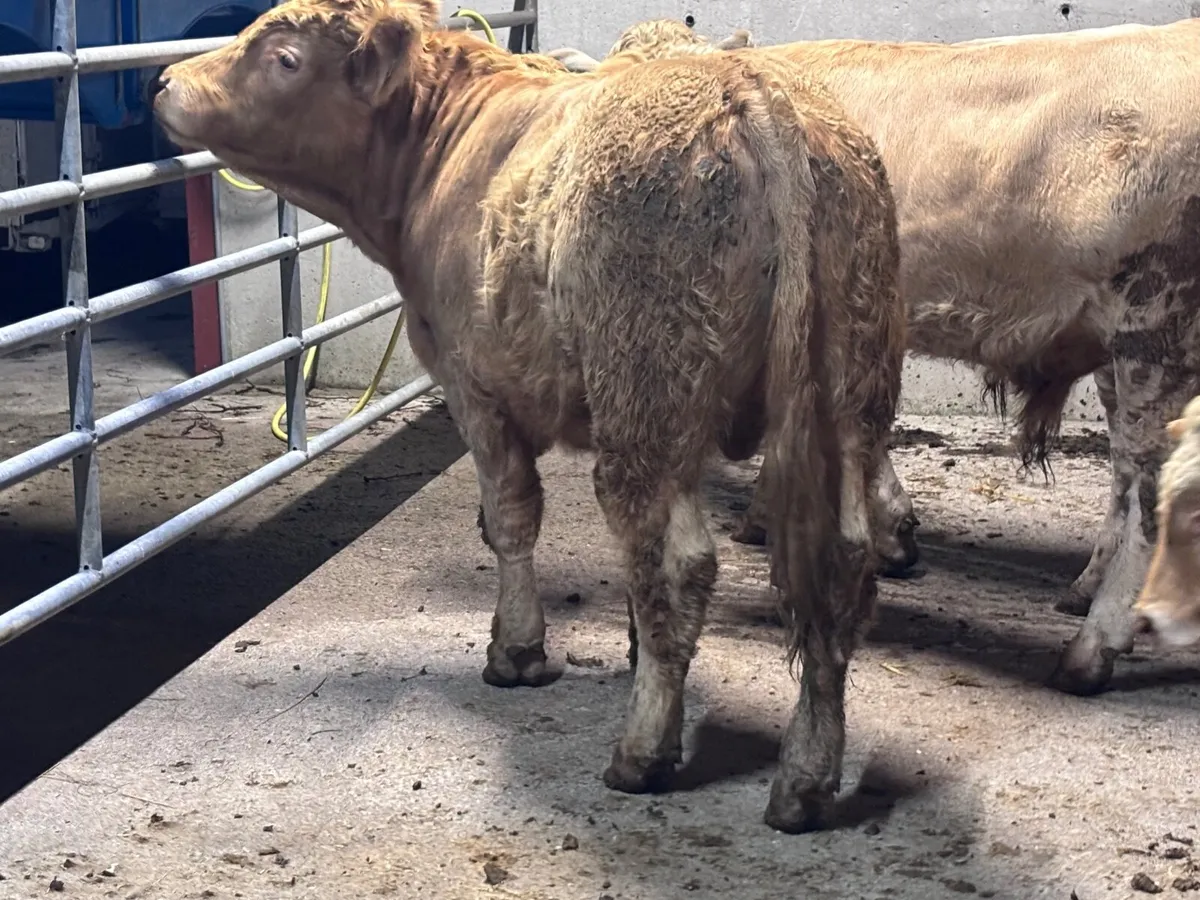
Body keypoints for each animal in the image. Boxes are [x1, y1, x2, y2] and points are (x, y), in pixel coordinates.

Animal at [152, 0, 907, 832]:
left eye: (284, 58)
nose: (166, 80)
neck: (443, 152)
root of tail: (751, 88)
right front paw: (640, 655)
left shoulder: (474, 387)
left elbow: (509, 518)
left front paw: (517, 650)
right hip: (846, 395)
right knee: (840, 562)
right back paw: (805, 777)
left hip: (646, 389)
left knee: (678, 559)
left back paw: (642, 752)